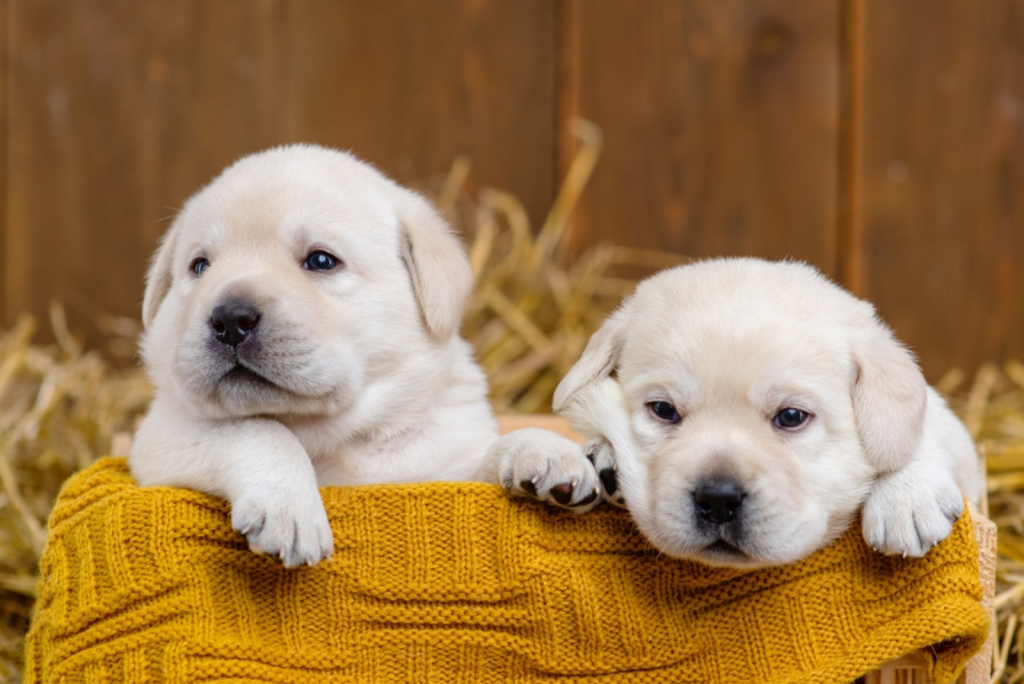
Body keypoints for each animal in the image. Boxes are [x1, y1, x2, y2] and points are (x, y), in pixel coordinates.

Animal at [128, 143, 598, 565]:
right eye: (200, 266)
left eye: (321, 261)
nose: (229, 318)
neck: (337, 436)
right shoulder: (159, 440)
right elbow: (256, 429)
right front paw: (291, 510)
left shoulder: (442, 468)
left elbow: (485, 455)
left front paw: (546, 451)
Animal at [552, 259, 983, 569]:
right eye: (663, 410)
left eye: (791, 416)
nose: (718, 500)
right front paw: (604, 456)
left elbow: (922, 430)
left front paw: (907, 497)